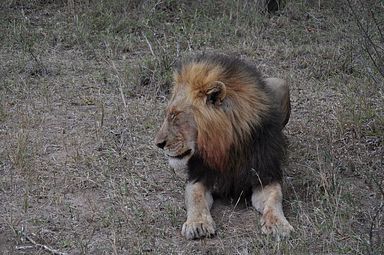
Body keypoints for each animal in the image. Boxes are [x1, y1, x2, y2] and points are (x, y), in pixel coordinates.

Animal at [156, 53, 294, 239]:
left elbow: (275, 197)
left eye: (175, 115)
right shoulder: (199, 175)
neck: (226, 146)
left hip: (280, 83)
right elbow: (195, 197)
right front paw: (198, 224)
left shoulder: (265, 175)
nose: (158, 144)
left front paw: (278, 224)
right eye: (169, 115)